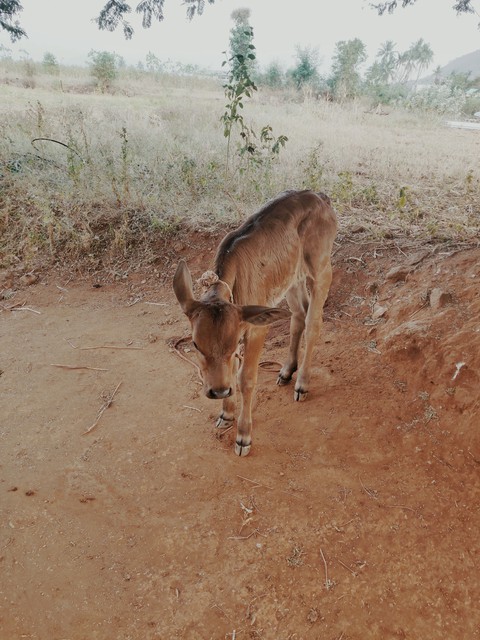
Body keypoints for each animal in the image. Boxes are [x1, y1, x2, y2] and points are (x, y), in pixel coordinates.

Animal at [173, 189, 337, 456]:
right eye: (196, 345)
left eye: (232, 346)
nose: (218, 391)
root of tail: (320, 196)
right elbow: (231, 373)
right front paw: (226, 414)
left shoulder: (256, 330)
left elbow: (245, 379)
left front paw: (243, 436)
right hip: (291, 278)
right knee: (298, 314)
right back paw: (286, 371)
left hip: (321, 268)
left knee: (313, 321)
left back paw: (301, 383)